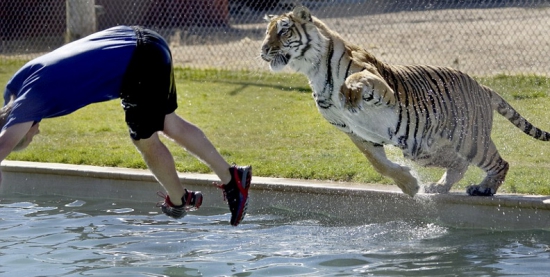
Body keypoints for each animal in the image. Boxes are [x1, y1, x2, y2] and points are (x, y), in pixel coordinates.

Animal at [260, 5, 550, 196]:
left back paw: (484, 189)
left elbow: (357, 78)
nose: (263, 49)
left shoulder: (381, 86)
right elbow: (378, 163)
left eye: (283, 32)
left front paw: (349, 93)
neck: (313, 70)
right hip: (422, 148)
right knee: (458, 163)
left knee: (498, 162)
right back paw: (438, 187)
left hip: (470, 139)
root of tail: (482, 85)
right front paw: (410, 186)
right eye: (266, 33)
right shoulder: (353, 131)